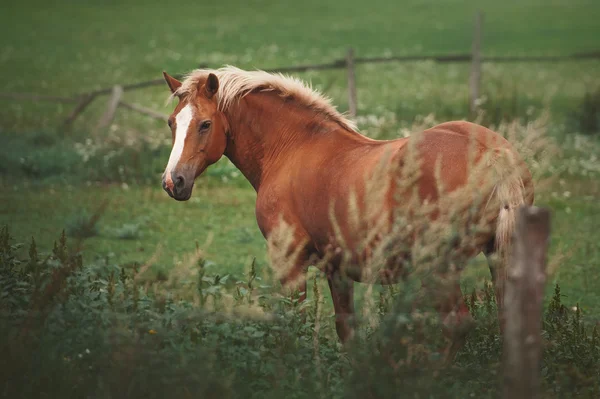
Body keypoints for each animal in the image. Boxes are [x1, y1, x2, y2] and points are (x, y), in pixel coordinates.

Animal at [159, 65, 536, 356]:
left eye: (205, 124)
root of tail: (494, 153)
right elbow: (347, 330)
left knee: (456, 324)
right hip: (496, 258)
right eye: (172, 123)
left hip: (440, 267)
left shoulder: (290, 262)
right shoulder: (338, 270)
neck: (293, 147)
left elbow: (294, 323)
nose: (173, 181)